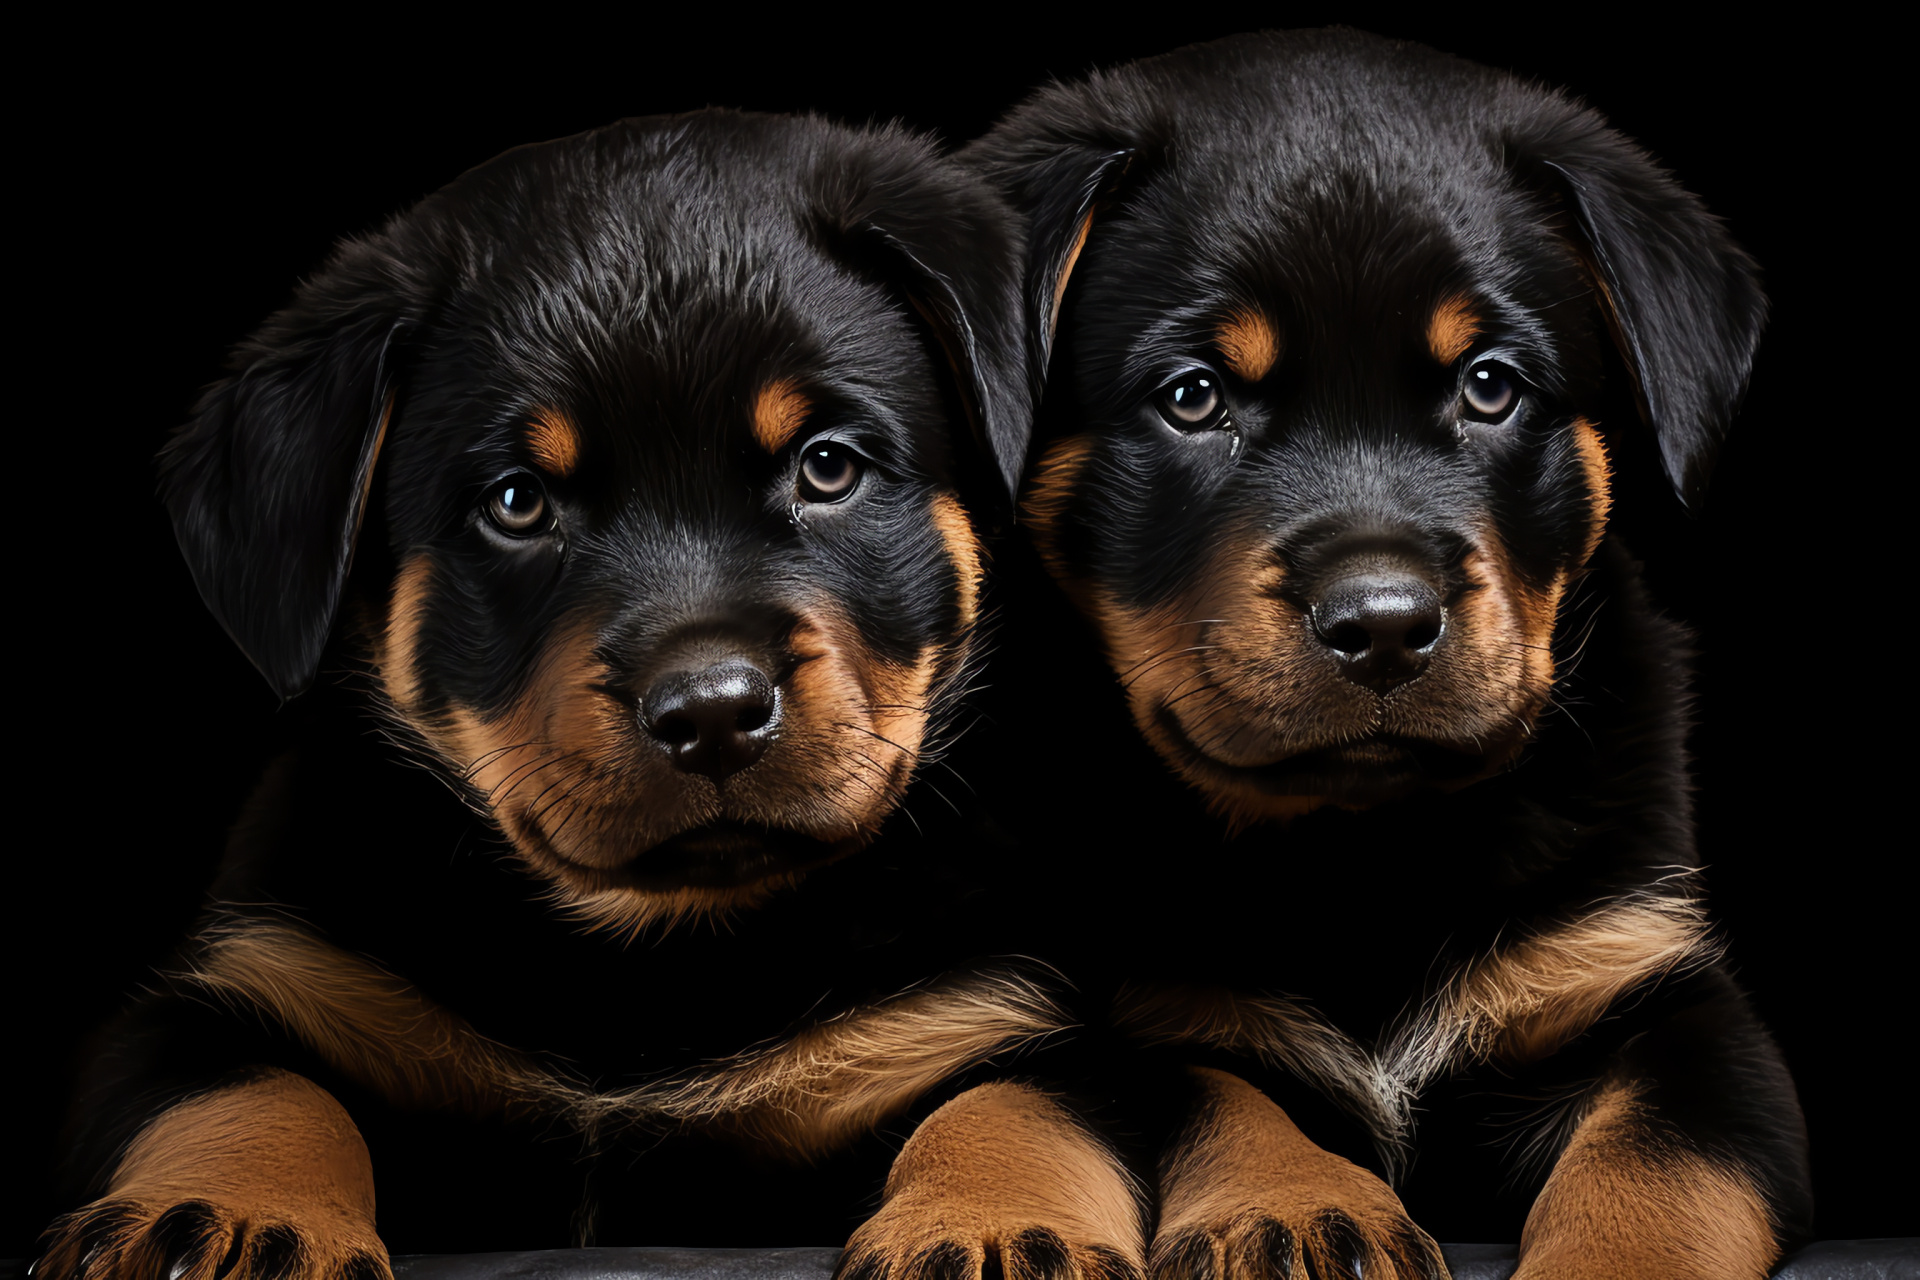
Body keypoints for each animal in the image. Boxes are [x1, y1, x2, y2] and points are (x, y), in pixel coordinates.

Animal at [37, 115, 1059, 1274]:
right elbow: (248, 1088)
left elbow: (1013, 1103)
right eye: (518, 503)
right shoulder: (233, 991)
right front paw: (228, 1214)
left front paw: (990, 1224)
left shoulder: (963, 1015)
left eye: (829, 466)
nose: (711, 710)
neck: (638, 956)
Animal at [844, 27, 1812, 1280]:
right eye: (1194, 396)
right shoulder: (1150, 1007)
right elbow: (1223, 1094)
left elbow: (1659, 1166)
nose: (1385, 621)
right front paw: (1296, 1205)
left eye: (1490, 384)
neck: (1361, 850)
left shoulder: (1649, 983)